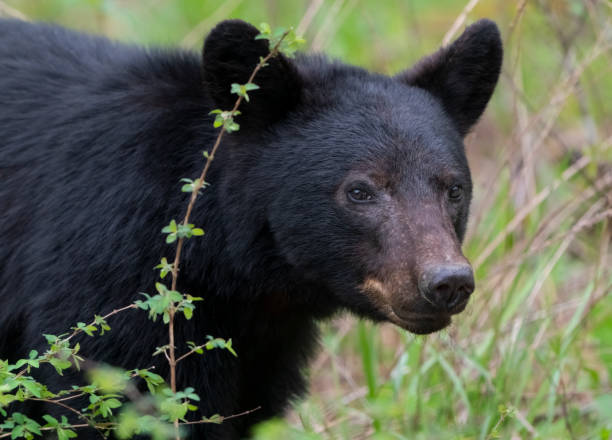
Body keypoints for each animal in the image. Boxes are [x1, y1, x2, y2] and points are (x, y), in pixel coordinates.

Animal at [0, 18, 502, 440]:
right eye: (360, 191)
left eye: (454, 189)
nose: (448, 281)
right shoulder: (111, 266)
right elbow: (112, 392)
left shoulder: (264, 348)